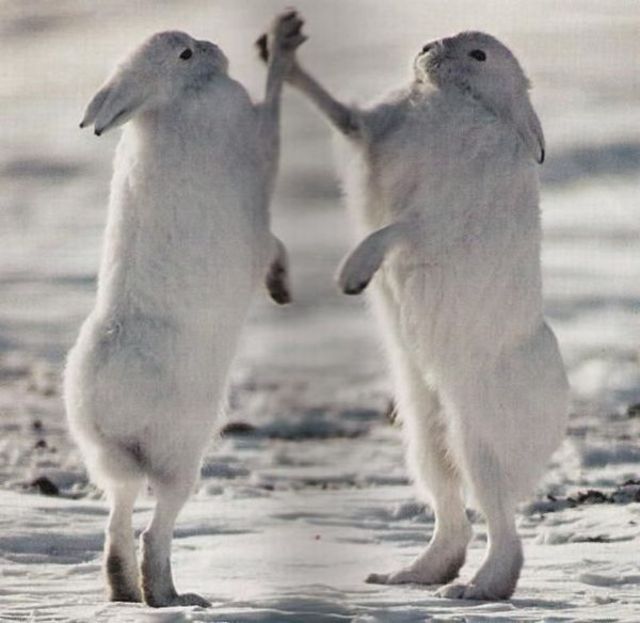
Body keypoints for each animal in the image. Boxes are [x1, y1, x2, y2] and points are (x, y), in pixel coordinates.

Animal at [64, 12, 306, 608]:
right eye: (185, 56)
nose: (215, 47)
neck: (169, 100)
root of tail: (110, 397)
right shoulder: (253, 140)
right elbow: (272, 109)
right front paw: (284, 40)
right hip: (183, 449)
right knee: (156, 527)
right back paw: (172, 597)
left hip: (109, 456)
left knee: (118, 516)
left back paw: (130, 592)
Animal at [259, 28, 569, 600]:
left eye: (478, 54)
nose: (428, 46)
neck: (459, 99)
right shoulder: (370, 131)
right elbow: (340, 113)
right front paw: (281, 50)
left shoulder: (437, 215)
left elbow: (397, 229)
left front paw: (352, 275)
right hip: (423, 435)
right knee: (451, 516)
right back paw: (409, 576)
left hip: (476, 440)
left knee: (500, 524)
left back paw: (475, 589)